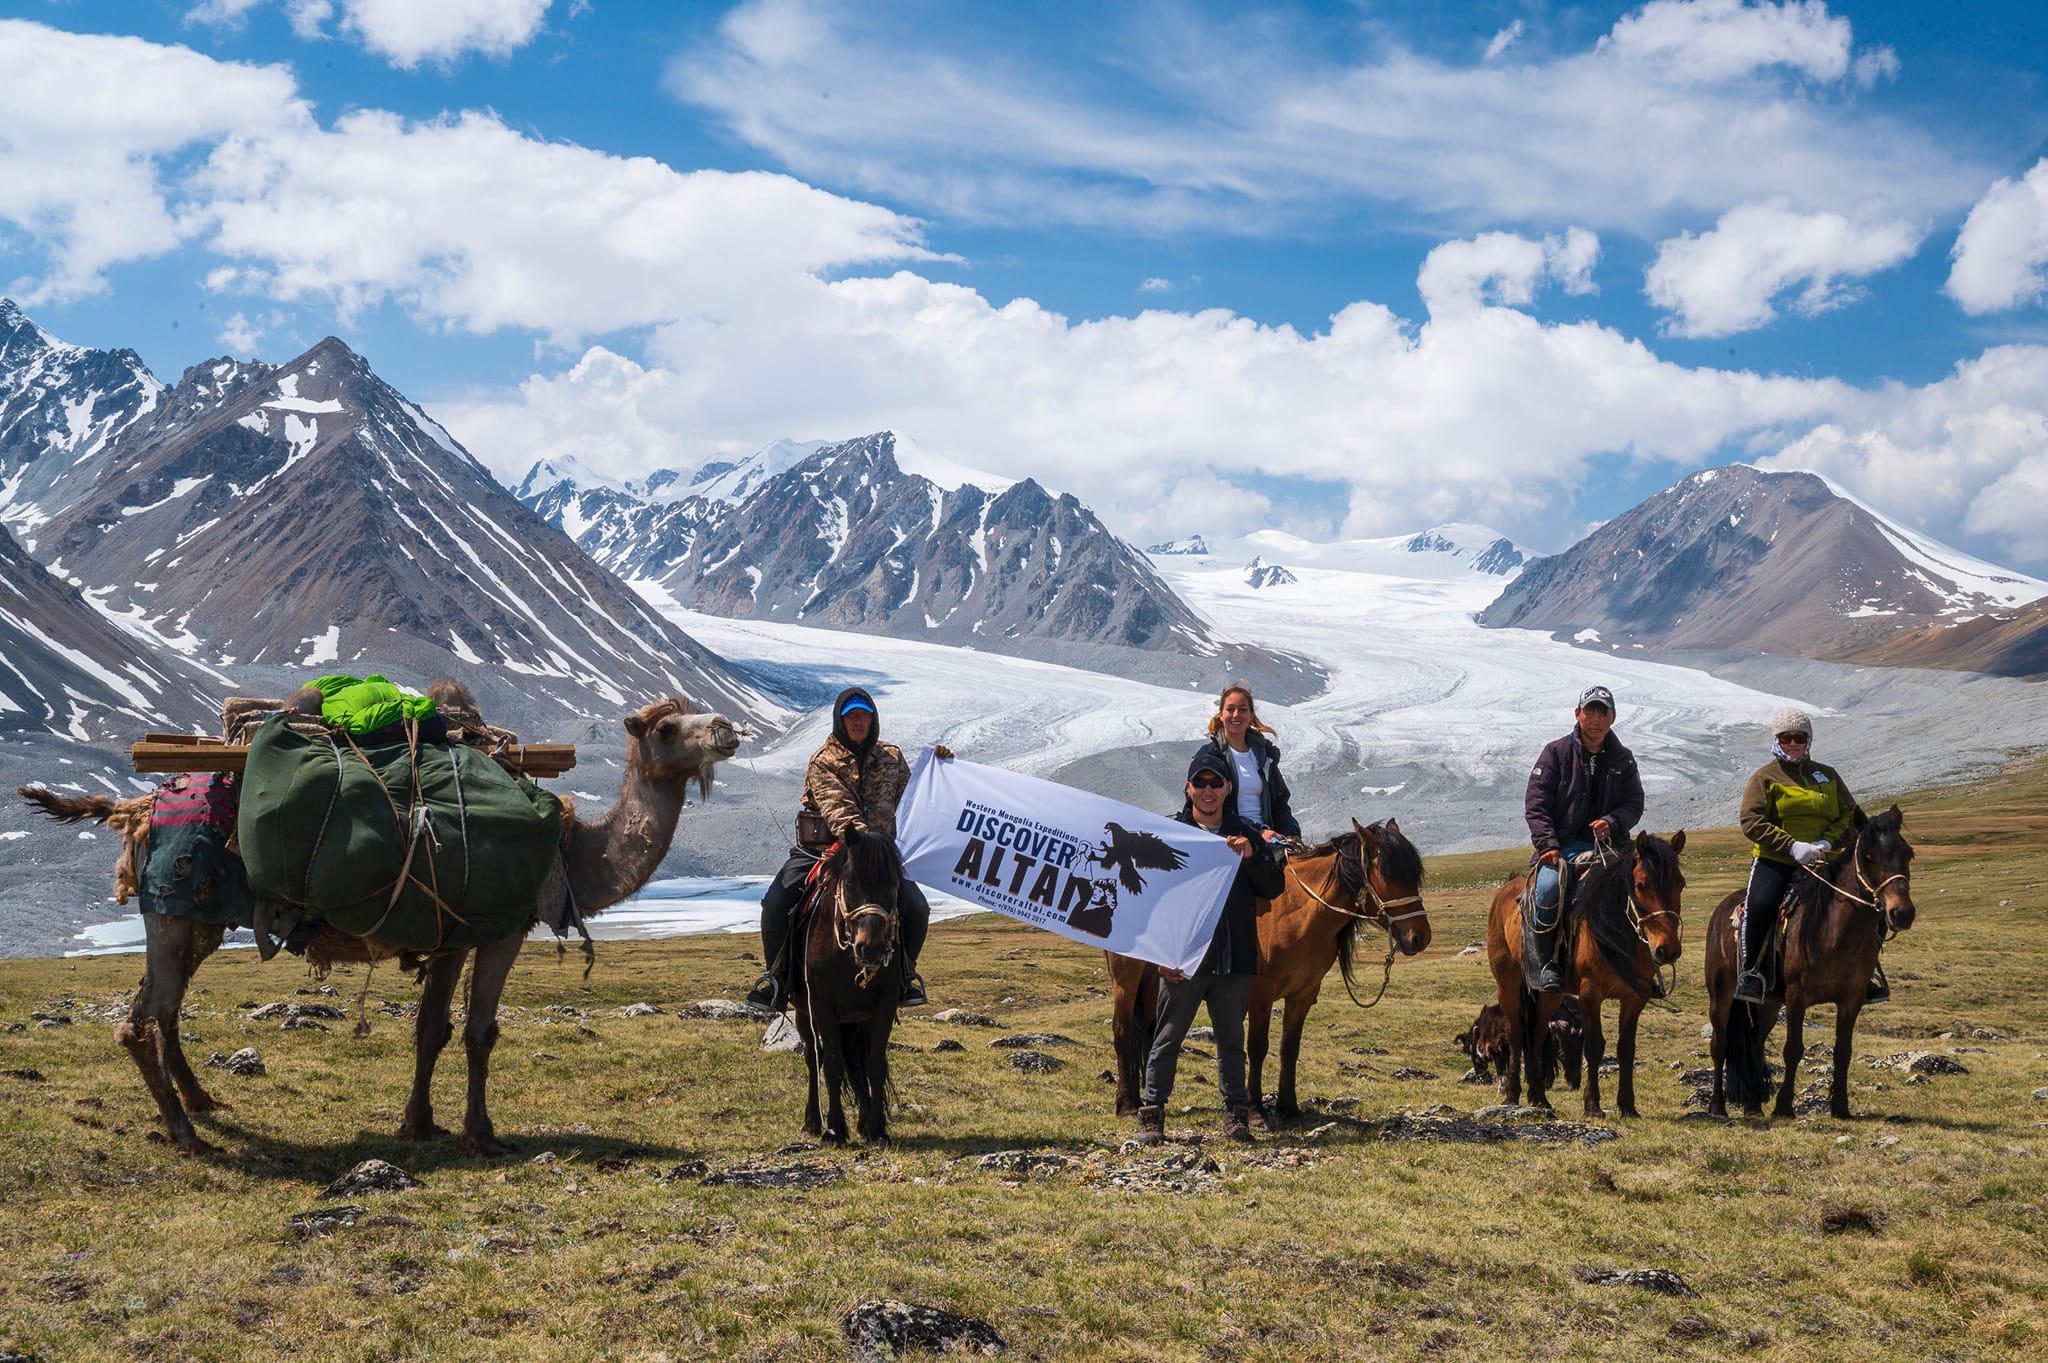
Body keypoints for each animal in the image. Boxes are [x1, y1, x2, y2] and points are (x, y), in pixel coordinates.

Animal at [22, 683, 745, 1154]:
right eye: (667, 729)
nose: (728, 727)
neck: (572, 850)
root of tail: (137, 805)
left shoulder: (452, 934)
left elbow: (433, 1029)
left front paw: (419, 1123)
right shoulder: (500, 930)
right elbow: (479, 1032)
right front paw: (482, 1133)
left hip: (191, 916)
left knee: (160, 1010)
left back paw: (205, 1105)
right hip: (176, 905)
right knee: (143, 1018)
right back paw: (186, 1134)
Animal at [790, 822, 905, 1137]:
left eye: (894, 885)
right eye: (851, 884)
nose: (871, 947)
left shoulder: (885, 1003)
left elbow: (874, 1063)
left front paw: (877, 1129)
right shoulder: (821, 1003)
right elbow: (832, 1063)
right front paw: (836, 1130)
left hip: (858, 1018)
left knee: (859, 1059)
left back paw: (864, 1121)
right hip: (804, 1012)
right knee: (812, 1057)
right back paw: (812, 1121)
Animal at [1114, 810, 1433, 1121]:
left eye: (1414, 874)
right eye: (1387, 874)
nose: (1420, 937)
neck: (1297, 913)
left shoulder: (1303, 994)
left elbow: (1289, 1048)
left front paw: (1288, 1107)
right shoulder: (1260, 993)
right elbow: (1257, 1047)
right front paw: (1255, 1108)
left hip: (1153, 977)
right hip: (1126, 976)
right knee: (1123, 1031)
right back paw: (1127, 1104)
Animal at [1482, 826, 1687, 1113]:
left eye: (1680, 884)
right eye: (1641, 885)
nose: (1667, 950)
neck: (1615, 932)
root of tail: (1505, 893)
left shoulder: (1635, 998)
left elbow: (1626, 1048)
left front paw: (1628, 1106)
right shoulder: (1591, 993)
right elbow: (1594, 1046)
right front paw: (1592, 1105)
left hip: (1550, 993)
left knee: (1536, 1033)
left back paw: (1540, 1099)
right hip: (1508, 984)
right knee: (1516, 1033)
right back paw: (1512, 1095)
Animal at [1703, 806, 1908, 1113]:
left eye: (1908, 854)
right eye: (1869, 857)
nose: (1902, 913)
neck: (1834, 932)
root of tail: (1722, 908)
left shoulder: (1852, 999)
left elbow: (1843, 1051)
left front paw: (1840, 1108)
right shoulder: (1797, 996)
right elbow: (1793, 1050)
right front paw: (1784, 1107)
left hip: (1769, 1003)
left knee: (1756, 1043)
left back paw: (1753, 1103)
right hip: (1721, 994)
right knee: (1720, 1045)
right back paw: (1717, 1106)